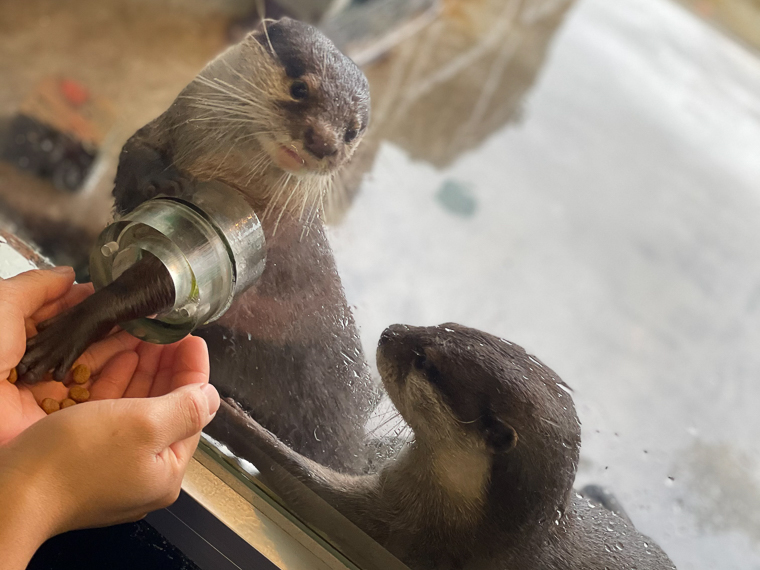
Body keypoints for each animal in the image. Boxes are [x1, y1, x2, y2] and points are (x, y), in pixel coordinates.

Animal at [20, 17, 380, 470]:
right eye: (300, 88)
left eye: (352, 131)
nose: (326, 145)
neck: (218, 169)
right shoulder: (155, 134)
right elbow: (133, 159)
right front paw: (159, 183)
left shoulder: (220, 239)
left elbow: (156, 280)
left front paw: (74, 325)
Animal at [215, 322, 676, 568]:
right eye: (442, 325)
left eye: (426, 363)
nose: (389, 331)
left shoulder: (401, 531)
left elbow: (304, 481)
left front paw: (228, 414)